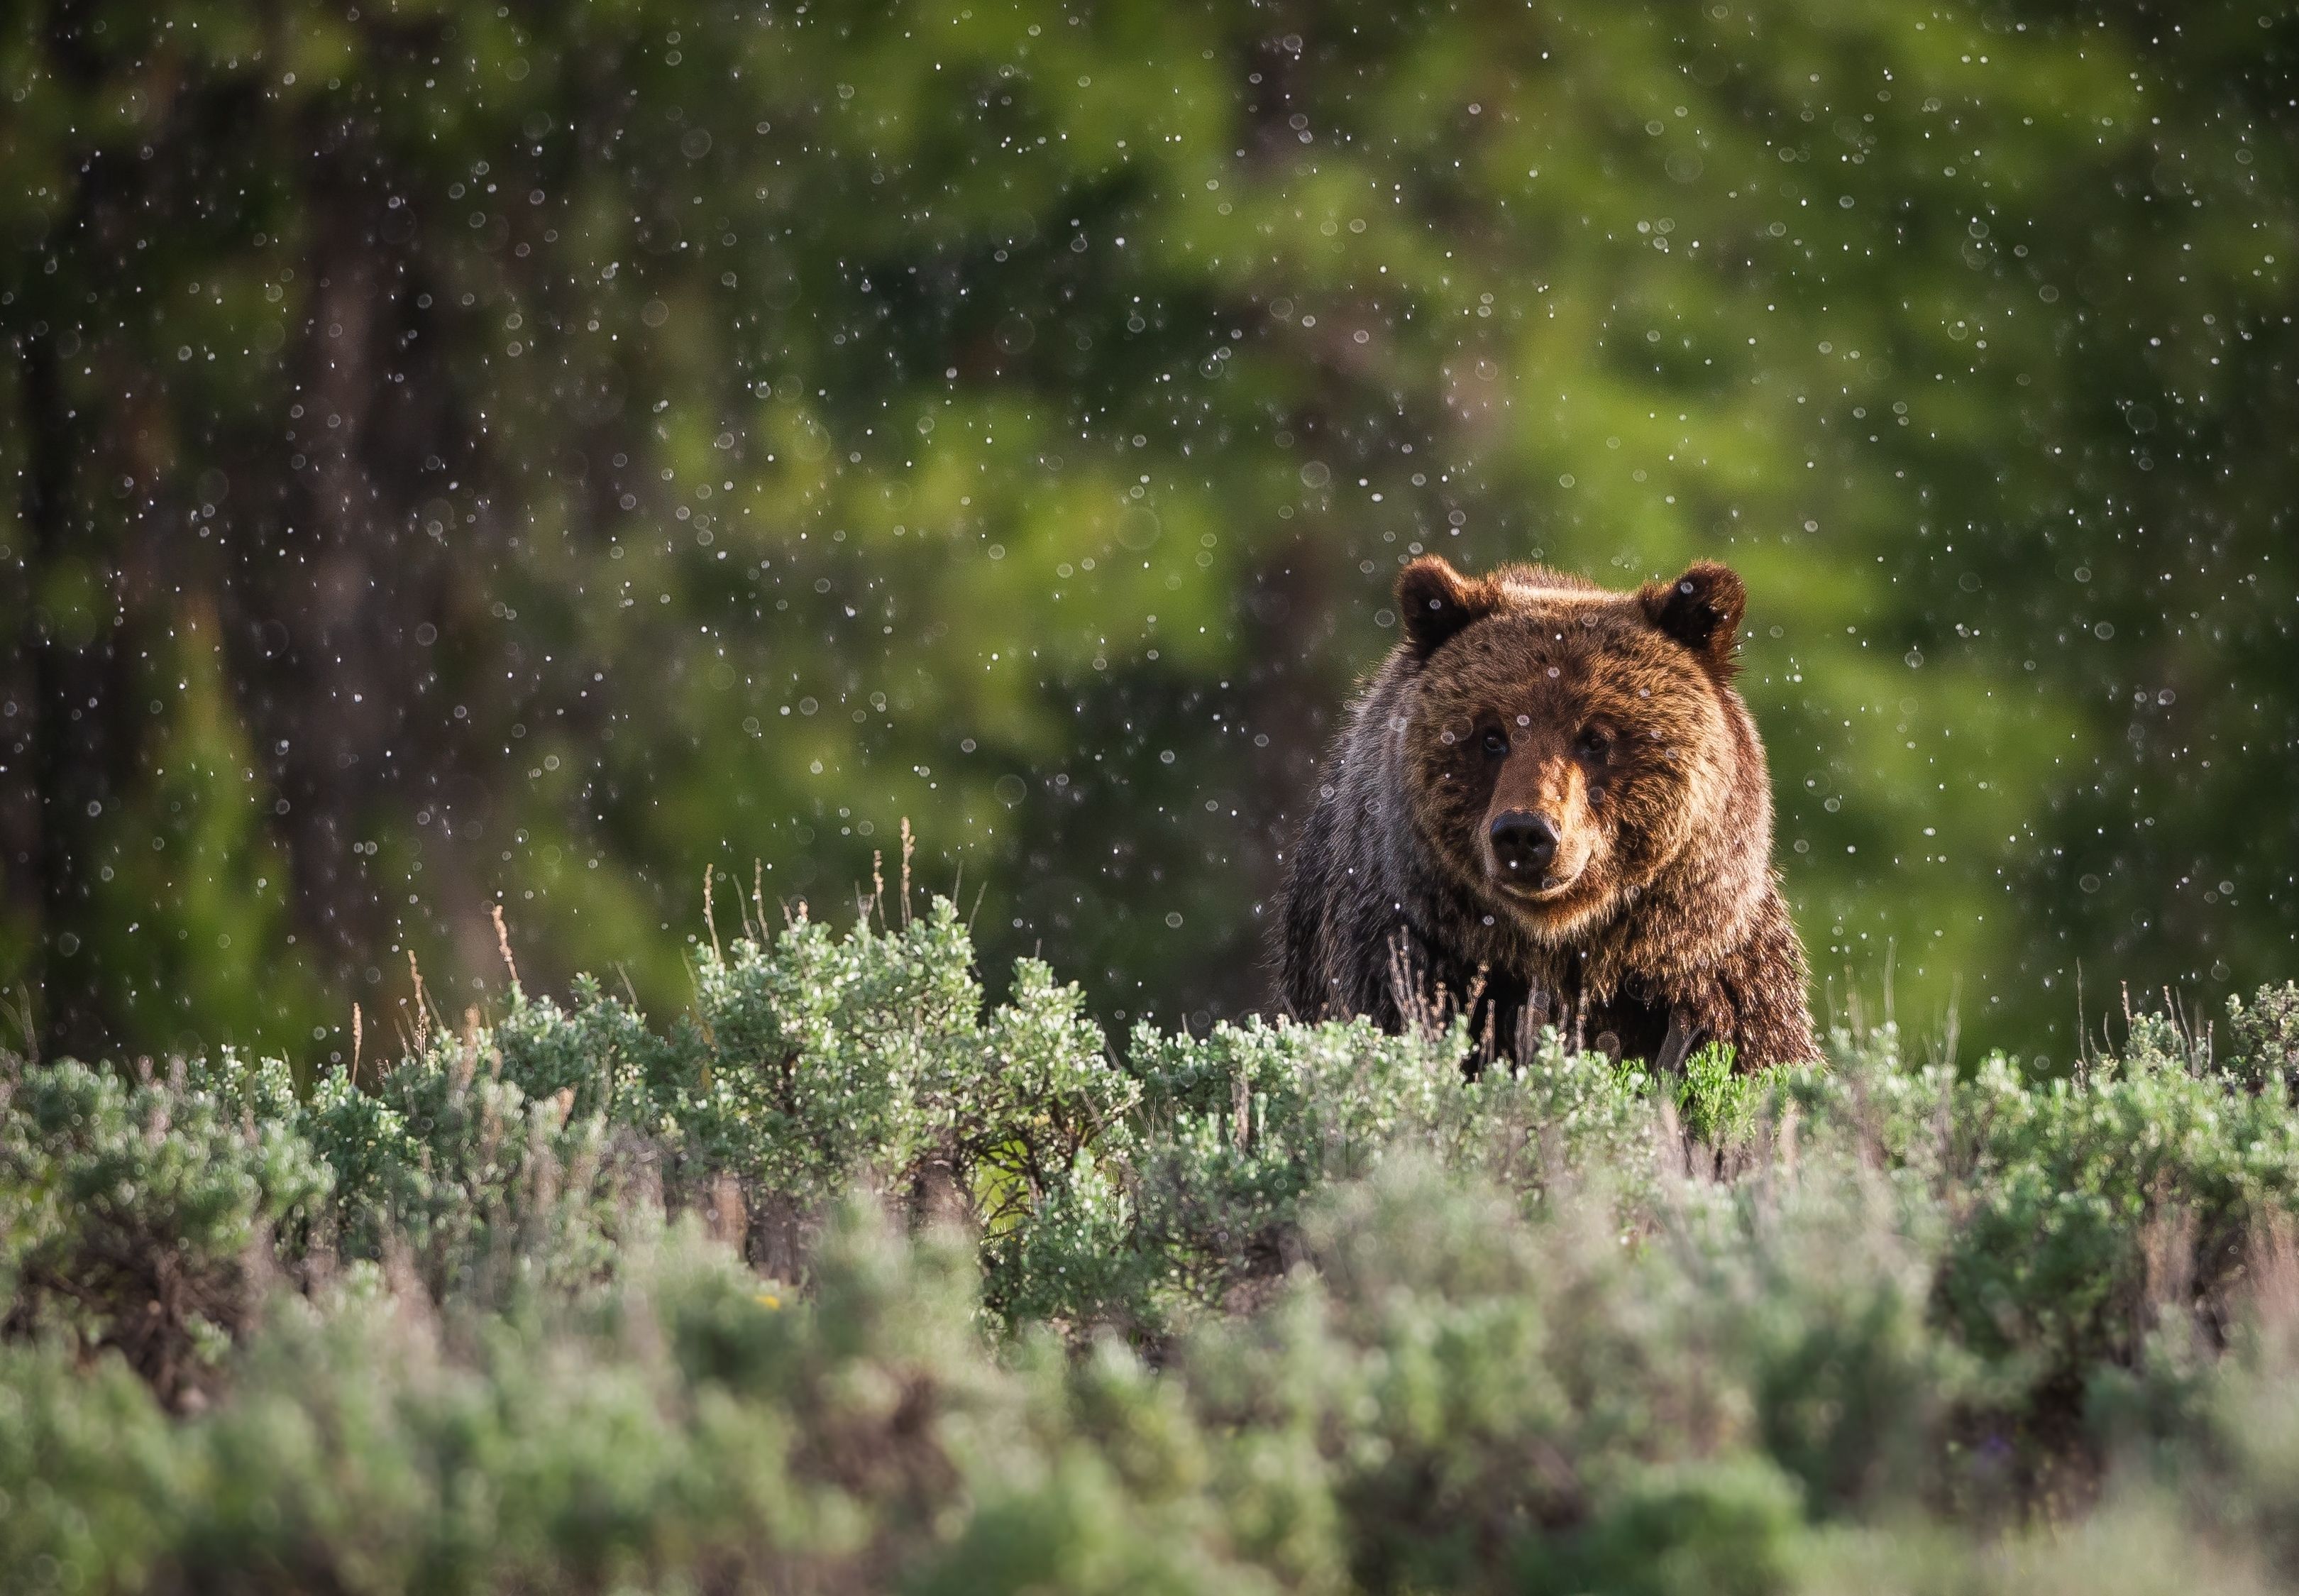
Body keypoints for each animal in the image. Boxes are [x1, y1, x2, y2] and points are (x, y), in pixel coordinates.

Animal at [1269, 556, 1821, 1067]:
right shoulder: (1407, 953)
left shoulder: (1712, 979)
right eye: (1490, 735)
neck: (1560, 949)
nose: (1524, 832)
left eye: (1596, 738)